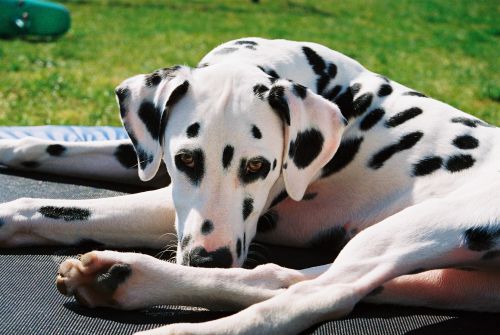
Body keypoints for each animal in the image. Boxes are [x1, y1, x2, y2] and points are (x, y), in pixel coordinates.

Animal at [0, 37, 500, 335]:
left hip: (416, 227)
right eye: (185, 159)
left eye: (260, 166)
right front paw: (13, 145)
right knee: (278, 278)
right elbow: (42, 147)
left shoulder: (167, 206)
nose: (210, 259)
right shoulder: (147, 157)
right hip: (440, 276)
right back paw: (122, 277)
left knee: (315, 298)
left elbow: (56, 209)